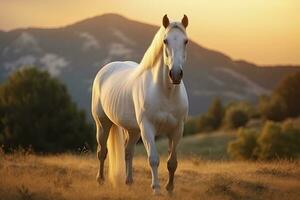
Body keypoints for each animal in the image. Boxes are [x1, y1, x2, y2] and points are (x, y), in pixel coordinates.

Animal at [91, 14, 189, 194]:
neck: (166, 93)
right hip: (103, 124)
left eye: (185, 41)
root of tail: (105, 70)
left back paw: (129, 182)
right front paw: (156, 189)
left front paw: (170, 189)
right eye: (165, 40)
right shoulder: (147, 128)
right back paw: (100, 180)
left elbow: (172, 162)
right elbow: (153, 159)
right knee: (102, 152)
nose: (175, 74)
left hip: (133, 130)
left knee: (128, 152)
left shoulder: (177, 129)